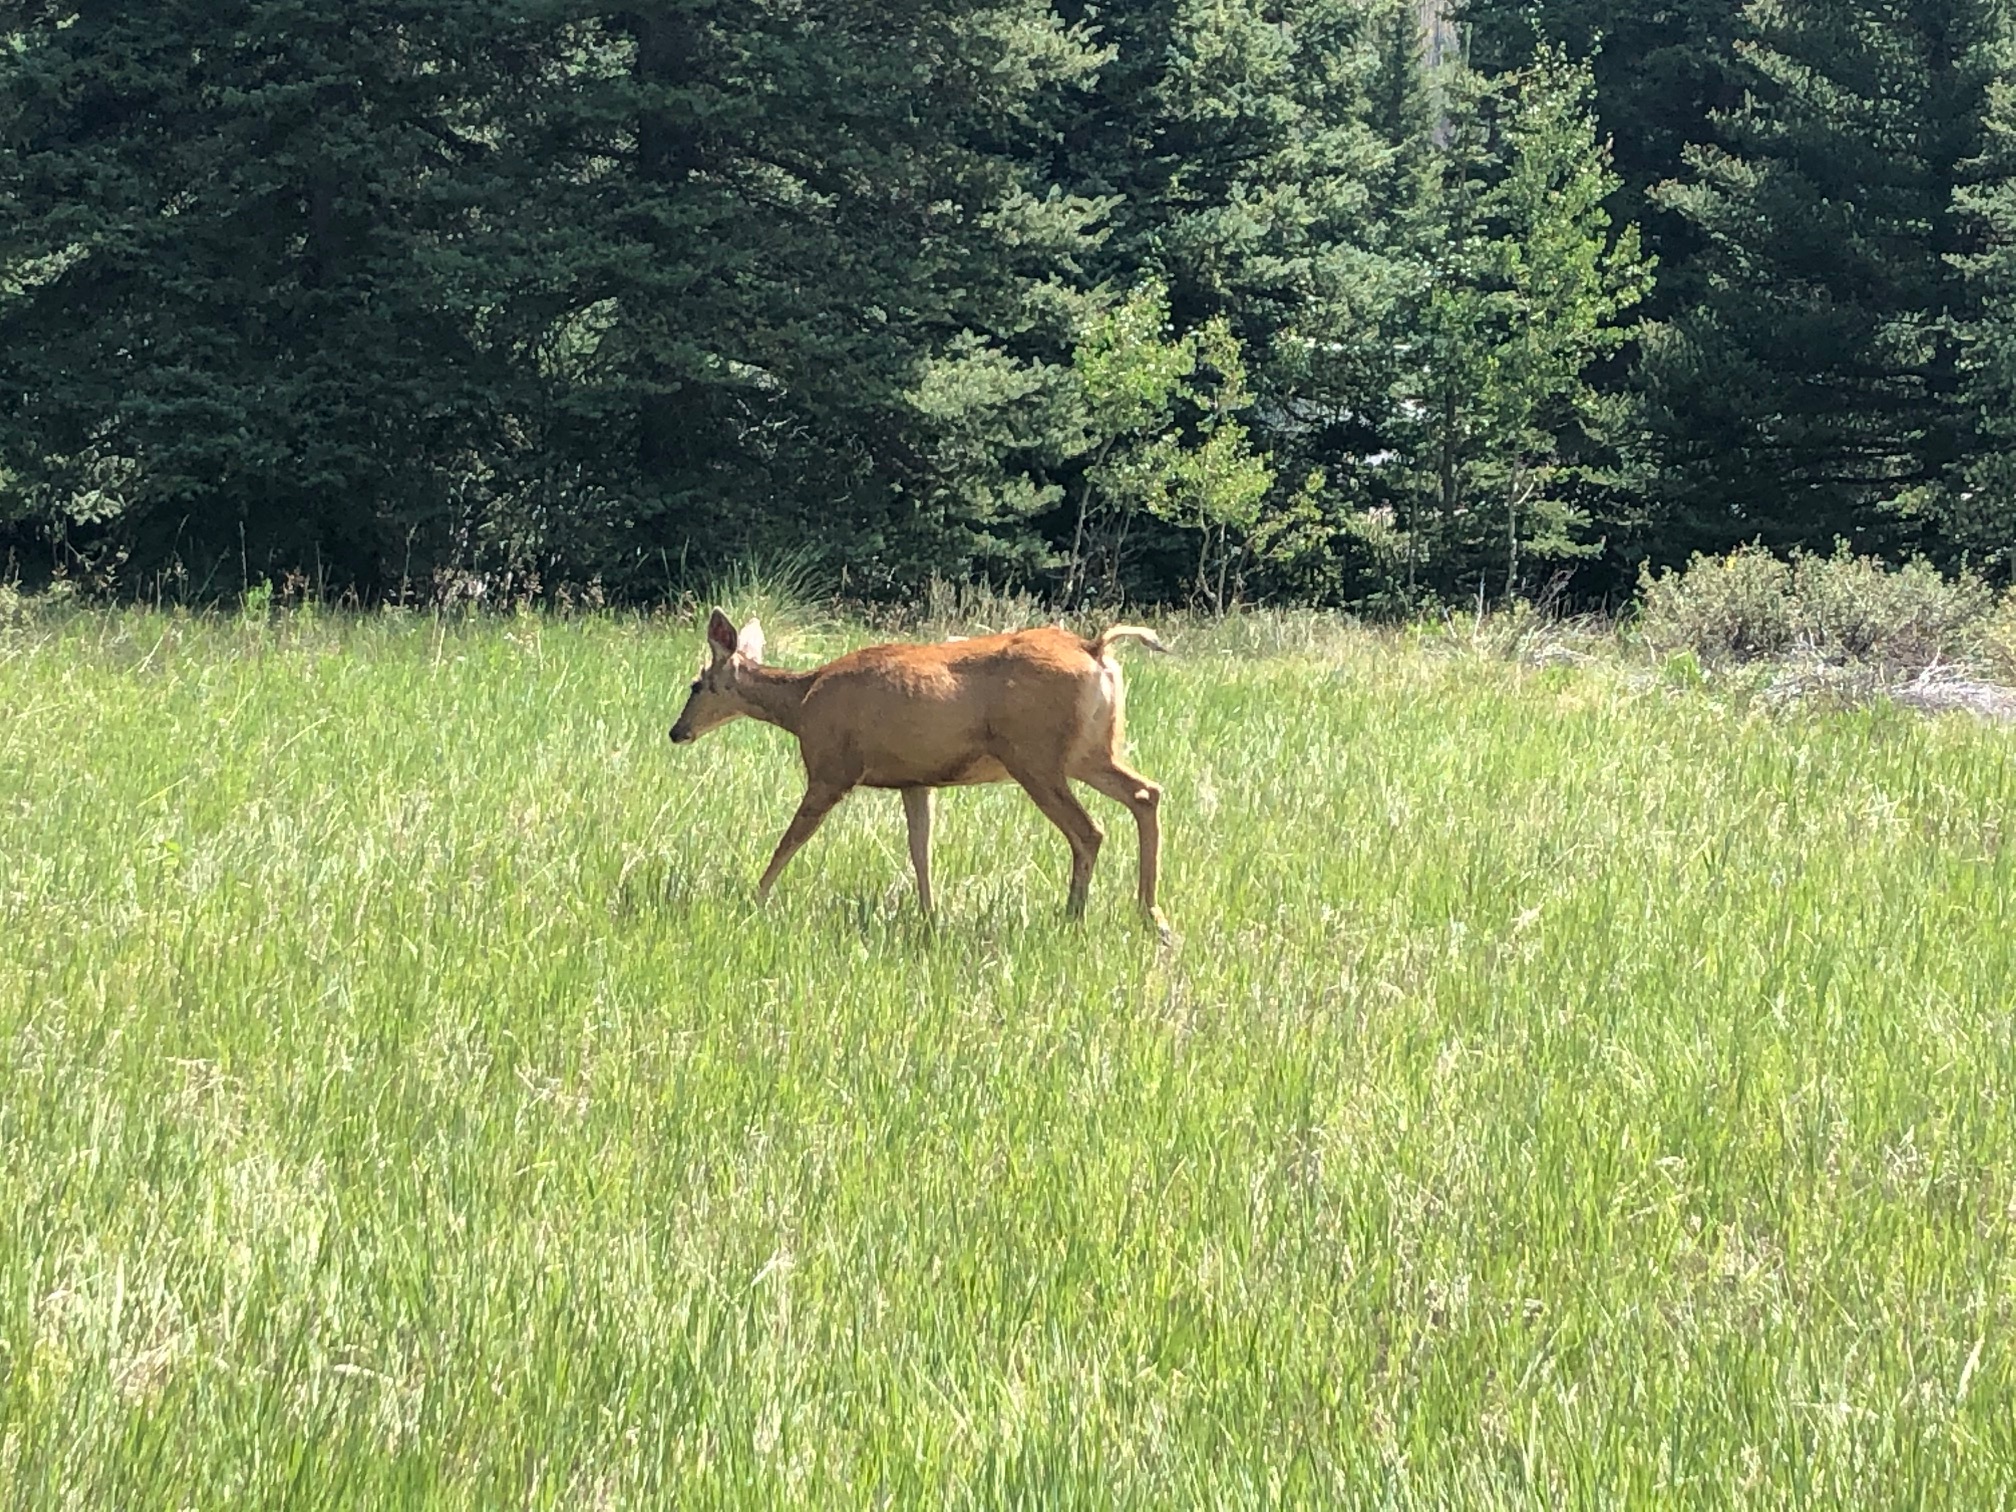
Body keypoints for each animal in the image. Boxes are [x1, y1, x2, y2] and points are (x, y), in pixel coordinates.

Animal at [673, 608, 1169, 931]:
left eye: (696, 684)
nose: (676, 731)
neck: (801, 704)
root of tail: (1095, 648)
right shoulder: (915, 781)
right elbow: (921, 849)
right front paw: (930, 916)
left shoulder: (831, 768)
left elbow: (792, 837)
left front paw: (755, 898)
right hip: (1090, 752)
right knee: (1146, 793)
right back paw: (1151, 915)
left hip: (1035, 756)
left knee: (1089, 830)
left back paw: (1073, 916)